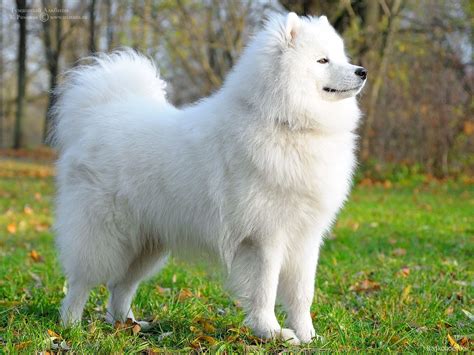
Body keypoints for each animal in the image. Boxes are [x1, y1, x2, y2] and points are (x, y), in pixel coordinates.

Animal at [54, 12, 366, 344]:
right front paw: (272, 332)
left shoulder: (305, 239)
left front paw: (308, 336)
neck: (287, 123)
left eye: (342, 57)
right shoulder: (265, 238)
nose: (362, 71)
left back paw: (127, 325)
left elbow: (302, 295)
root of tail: (100, 114)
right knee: (82, 281)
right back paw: (70, 326)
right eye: (322, 60)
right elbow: (265, 291)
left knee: (121, 285)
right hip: (104, 236)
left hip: (148, 244)